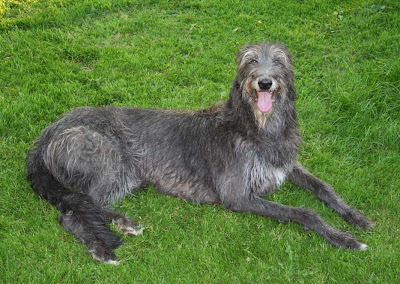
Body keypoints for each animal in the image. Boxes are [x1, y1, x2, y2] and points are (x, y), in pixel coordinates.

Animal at [26, 40, 374, 264]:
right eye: (249, 60)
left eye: (279, 61)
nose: (264, 82)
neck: (257, 128)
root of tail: (45, 134)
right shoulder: (238, 195)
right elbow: (304, 212)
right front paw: (343, 238)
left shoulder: (285, 164)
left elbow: (323, 187)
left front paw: (355, 216)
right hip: (109, 158)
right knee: (75, 208)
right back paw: (105, 246)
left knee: (84, 204)